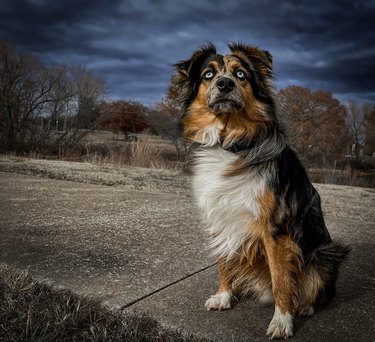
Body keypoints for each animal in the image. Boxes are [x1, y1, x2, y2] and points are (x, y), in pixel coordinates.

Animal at [172, 43, 352, 340]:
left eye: (240, 74)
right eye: (209, 74)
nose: (224, 84)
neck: (229, 141)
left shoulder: (275, 227)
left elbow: (281, 279)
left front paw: (282, 321)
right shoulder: (220, 216)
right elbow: (224, 261)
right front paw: (224, 296)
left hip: (325, 253)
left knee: (320, 291)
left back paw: (304, 307)